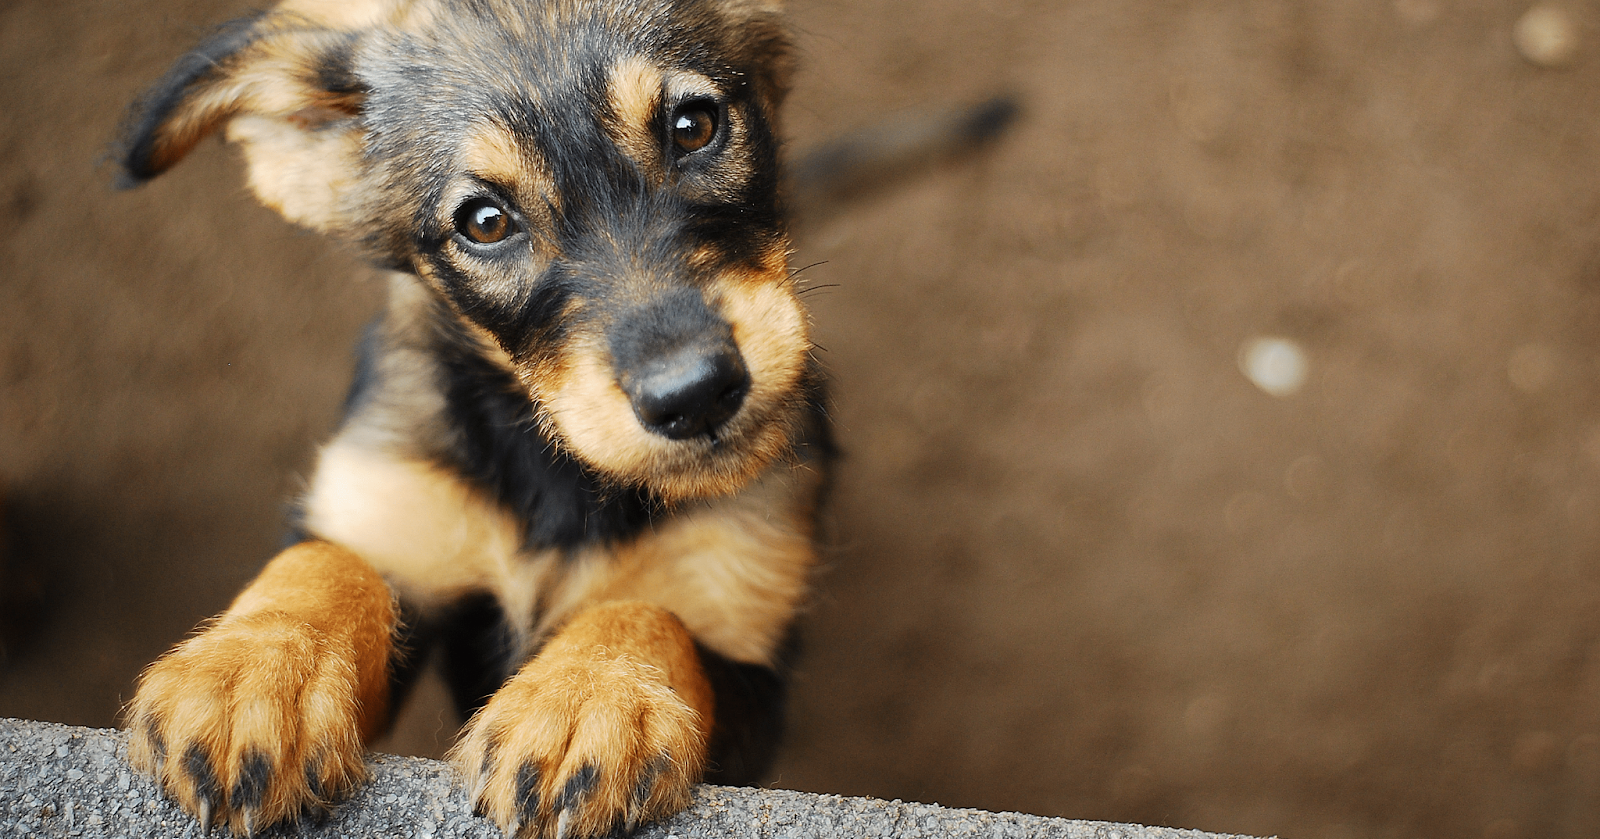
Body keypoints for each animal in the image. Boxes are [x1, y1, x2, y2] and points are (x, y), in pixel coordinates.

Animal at [116, 1, 825, 839]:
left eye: (694, 126)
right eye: (484, 222)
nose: (695, 393)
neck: (558, 474)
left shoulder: (750, 665)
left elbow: (650, 612)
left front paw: (587, 696)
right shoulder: (394, 502)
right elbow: (326, 560)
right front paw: (250, 670)